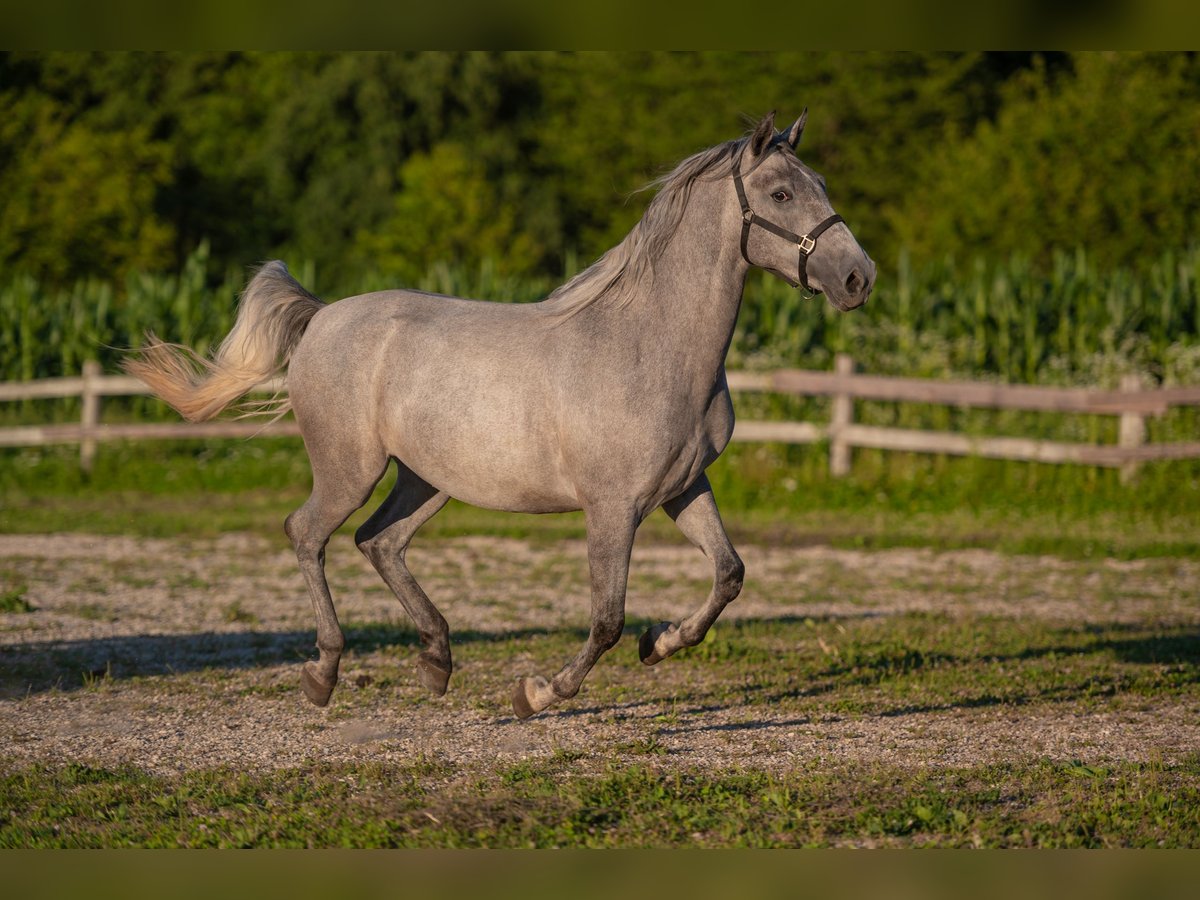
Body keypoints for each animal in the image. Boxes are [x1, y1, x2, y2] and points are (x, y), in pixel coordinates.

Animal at [129, 111, 873, 720]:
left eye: (821, 183)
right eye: (781, 194)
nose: (858, 278)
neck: (652, 343)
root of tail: (322, 316)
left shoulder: (683, 488)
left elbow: (728, 575)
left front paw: (658, 644)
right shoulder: (614, 507)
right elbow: (606, 618)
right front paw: (537, 692)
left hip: (427, 480)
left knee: (379, 541)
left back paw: (436, 661)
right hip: (350, 469)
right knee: (307, 534)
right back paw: (324, 672)